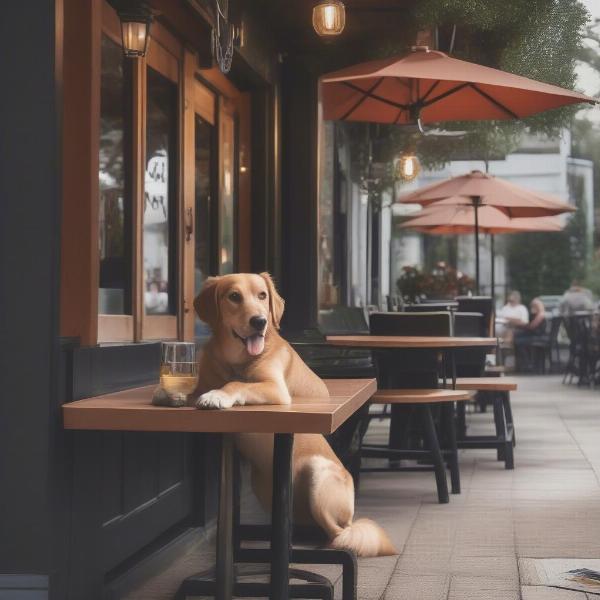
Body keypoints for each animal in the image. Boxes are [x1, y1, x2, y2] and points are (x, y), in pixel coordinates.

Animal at [188, 272, 394, 556]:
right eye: (234, 296)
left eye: (262, 295)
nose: (259, 321)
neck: (235, 360)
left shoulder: (275, 389)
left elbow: (236, 384)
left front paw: (218, 395)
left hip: (319, 475)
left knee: (338, 532)